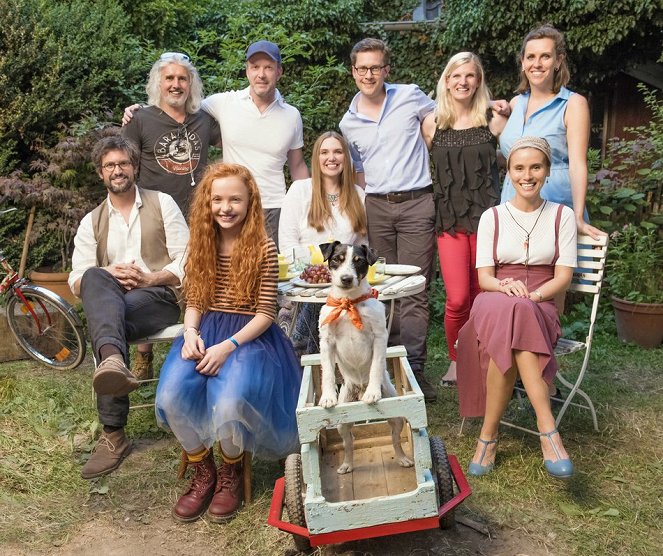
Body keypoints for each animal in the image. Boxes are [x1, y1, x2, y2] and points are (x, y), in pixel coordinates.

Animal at [318, 242, 416, 474]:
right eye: (336, 259)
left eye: (359, 261)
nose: (346, 279)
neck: (349, 303)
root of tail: (358, 389)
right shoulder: (326, 341)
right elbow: (328, 373)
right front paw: (328, 397)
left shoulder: (379, 336)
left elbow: (375, 367)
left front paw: (372, 392)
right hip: (342, 423)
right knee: (349, 443)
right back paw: (346, 464)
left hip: (397, 416)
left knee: (395, 439)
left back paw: (402, 459)